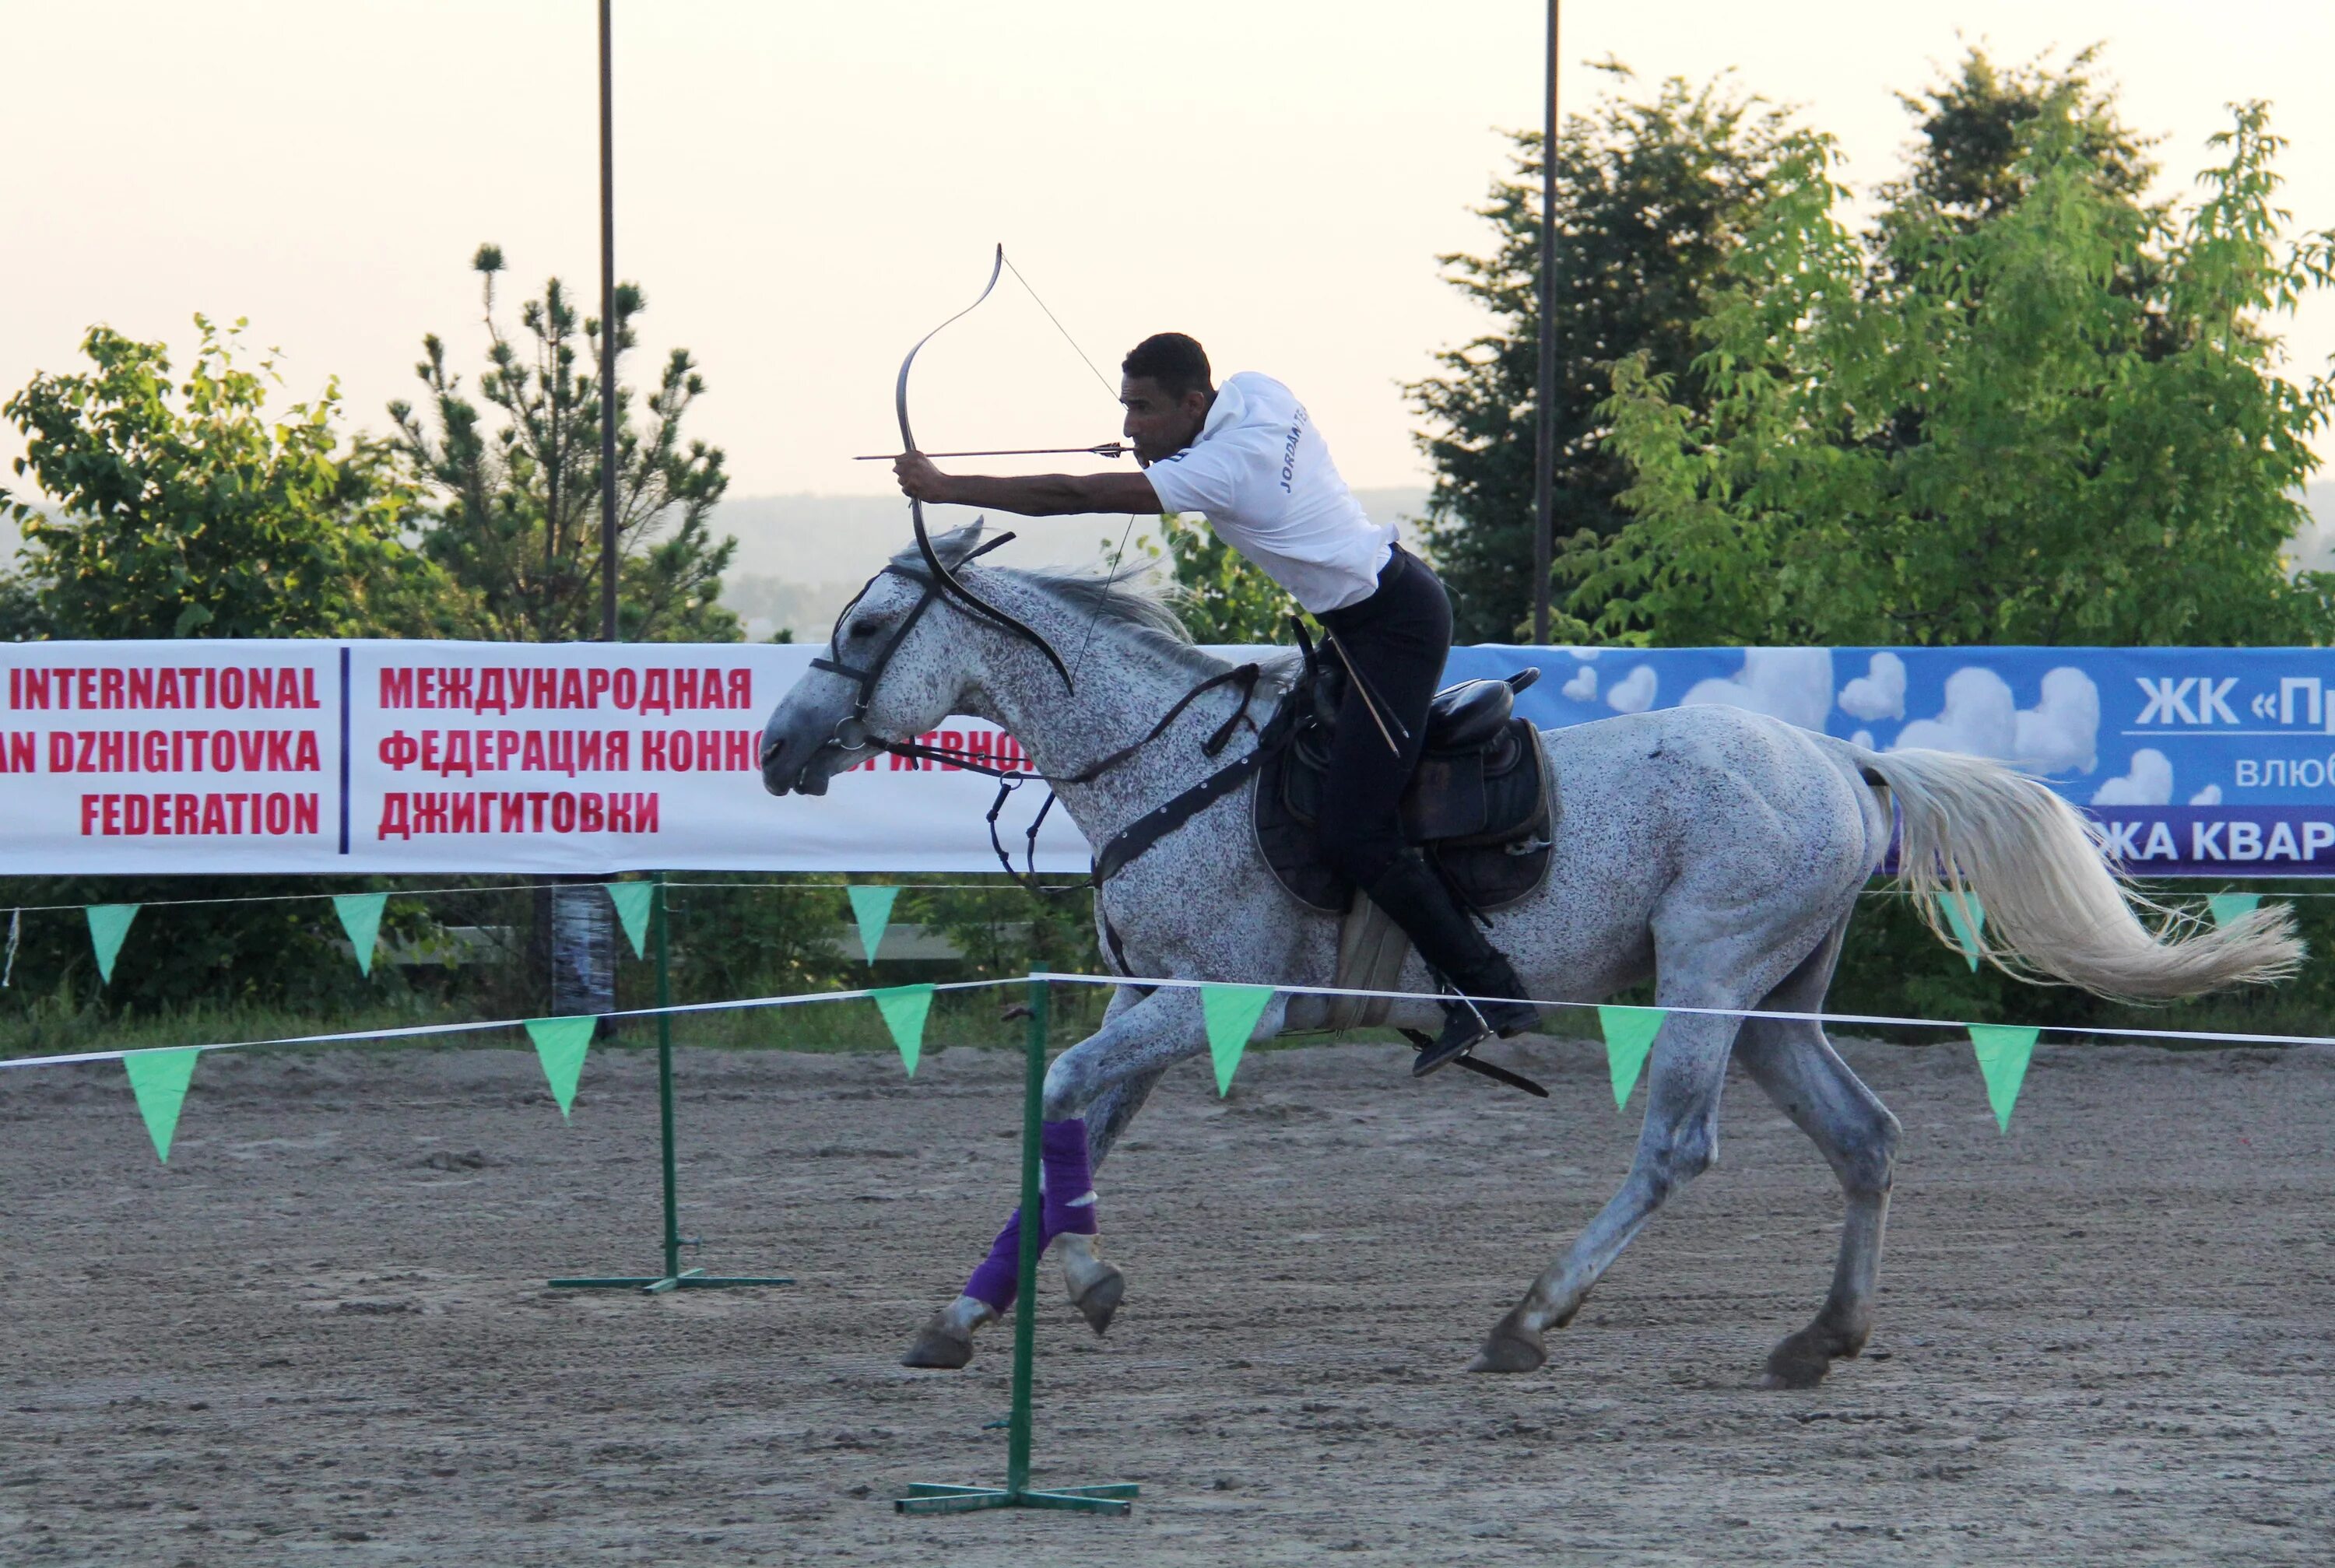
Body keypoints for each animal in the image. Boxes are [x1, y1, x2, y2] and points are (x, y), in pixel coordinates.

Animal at [766, 527, 2298, 1381]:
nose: (780, 748)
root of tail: (1843, 760)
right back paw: (1820, 1339)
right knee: (1866, 1139)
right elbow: (1067, 1133)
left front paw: (1081, 1289)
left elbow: (1058, 1094)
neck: (1163, 767)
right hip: (1773, 1004)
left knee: (1678, 1149)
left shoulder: (1220, 1004)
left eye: (864, 627)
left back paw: (1531, 1317)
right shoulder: (1155, 1006)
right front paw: (966, 1315)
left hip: (1706, 977)